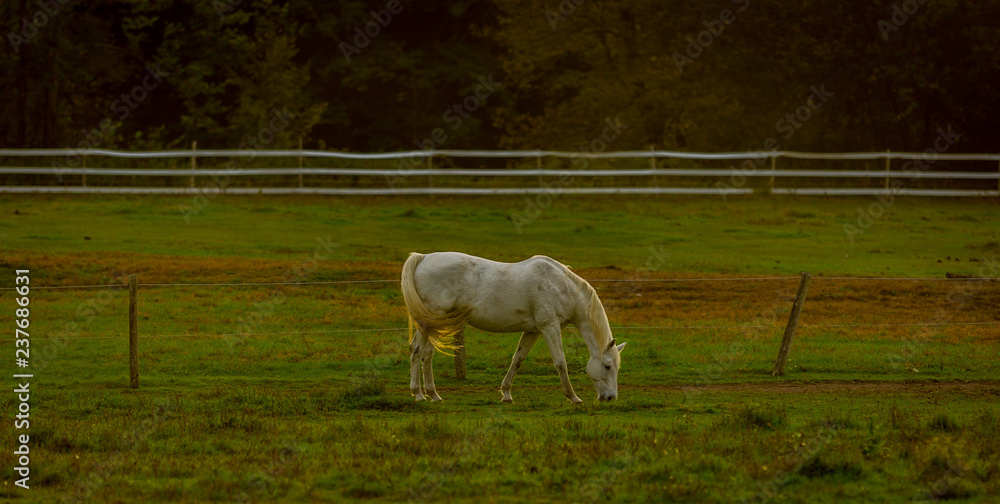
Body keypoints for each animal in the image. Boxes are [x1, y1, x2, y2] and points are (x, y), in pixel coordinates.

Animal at [400, 251, 627, 403]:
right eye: (607, 366)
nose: (610, 397)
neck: (561, 287)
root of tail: (423, 258)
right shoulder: (549, 327)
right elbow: (560, 362)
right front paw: (573, 397)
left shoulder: (533, 331)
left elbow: (517, 360)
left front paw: (506, 393)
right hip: (430, 321)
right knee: (417, 350)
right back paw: (418, 394)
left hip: (438, 323)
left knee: (427, 354)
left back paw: (433, 394)